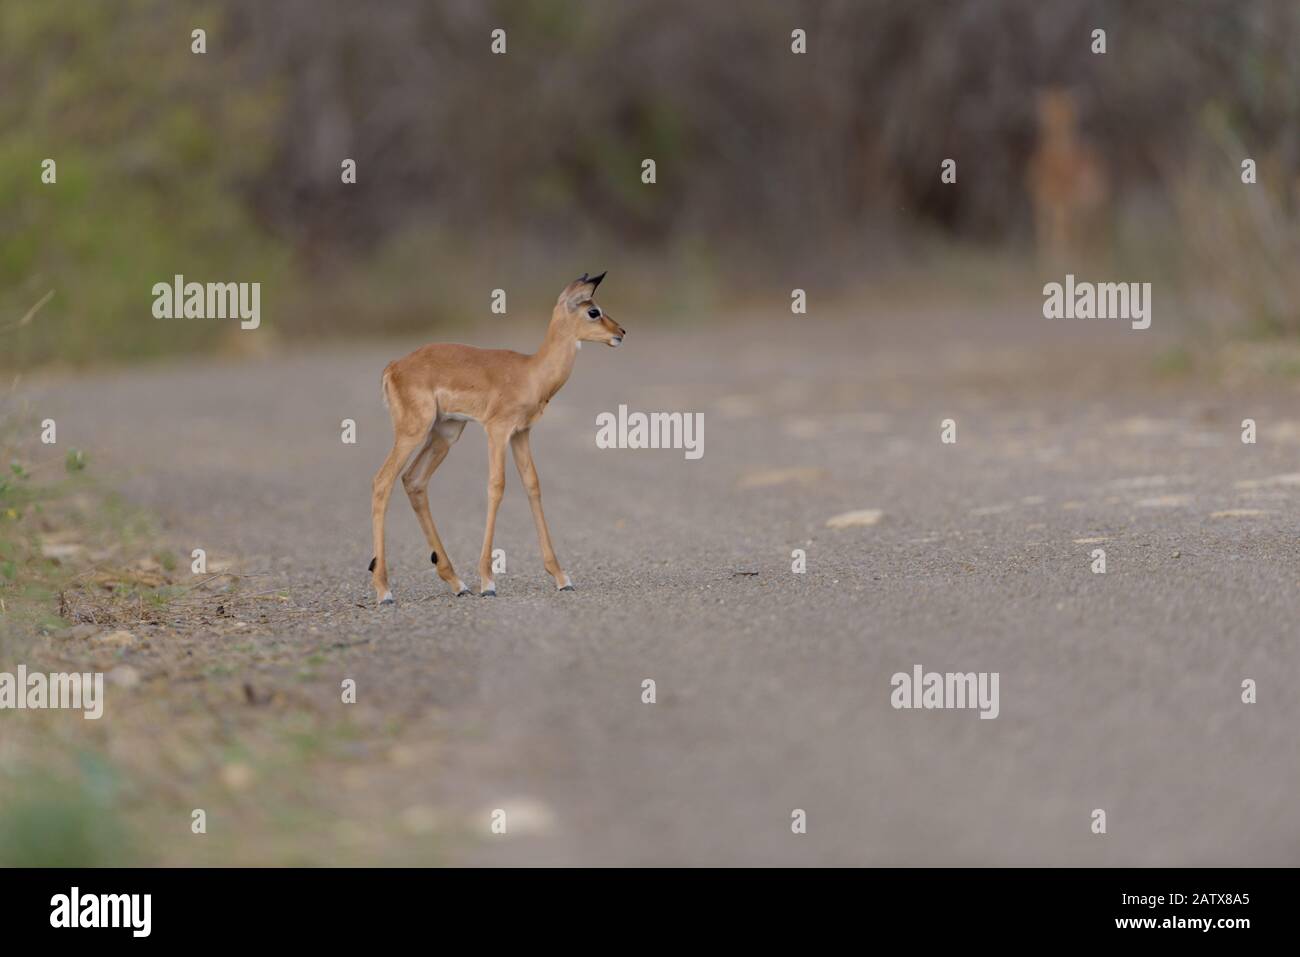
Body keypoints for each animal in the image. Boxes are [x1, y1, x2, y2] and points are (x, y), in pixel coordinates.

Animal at [368, 272, 626, 606]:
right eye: (593, 310)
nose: (620, 332)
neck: (531, 372)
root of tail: (394, 366)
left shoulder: (521, 434)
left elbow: (532, 485)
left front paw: (561, 578)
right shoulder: (497, 430)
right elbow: (496, 486)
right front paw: (488, 582)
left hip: (445, 434)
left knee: (413, 480)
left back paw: (457, 583)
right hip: (413, 432)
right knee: (382, 481)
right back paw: (385, 591)